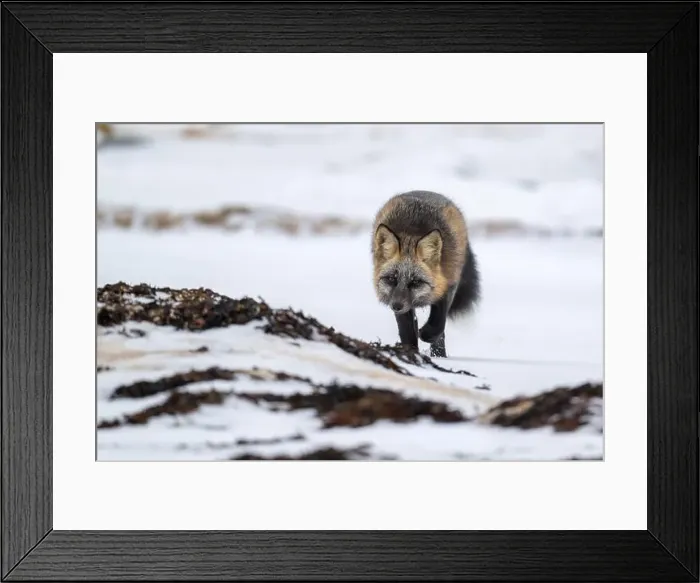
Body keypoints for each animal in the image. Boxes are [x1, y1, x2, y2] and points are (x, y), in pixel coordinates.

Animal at [371, 190, 480, 358]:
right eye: (391, 279)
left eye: (416, 281)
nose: (396, 306)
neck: (411, 232)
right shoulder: (402, 305)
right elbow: (407, 332)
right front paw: (410, 354)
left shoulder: (448, 283)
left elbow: (438, 324)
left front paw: (427, 334)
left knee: (441, 332)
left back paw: (440, 355)